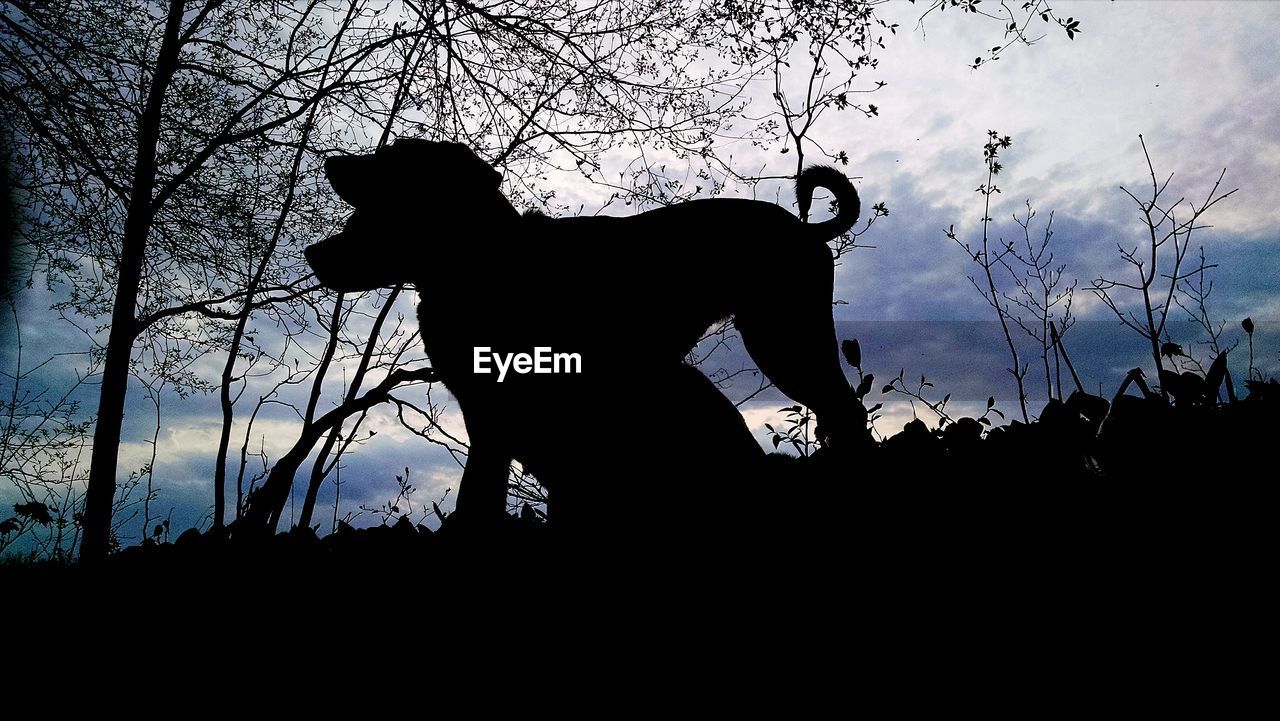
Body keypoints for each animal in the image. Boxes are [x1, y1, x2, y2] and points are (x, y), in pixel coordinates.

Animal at [302, 139, 860, 530]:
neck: (482, 259)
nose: (332, 163)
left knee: (844, 407)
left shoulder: (516, 417)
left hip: (783, 340)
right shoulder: (492, 416)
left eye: (391, 163)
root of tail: (806, 231)